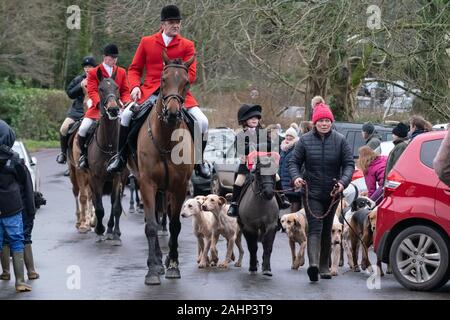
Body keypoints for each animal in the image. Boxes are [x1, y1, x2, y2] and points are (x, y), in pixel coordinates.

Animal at [128, 52, 195, 284]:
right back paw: (156, 261)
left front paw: (173, 265)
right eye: (163, 80)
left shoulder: (179, 186)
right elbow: (150, 226)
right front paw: (152, 269)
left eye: (187, 82)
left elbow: (175, 226)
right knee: (154, 221)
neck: (166, 139)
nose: (173, 113)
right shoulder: (147, 183)